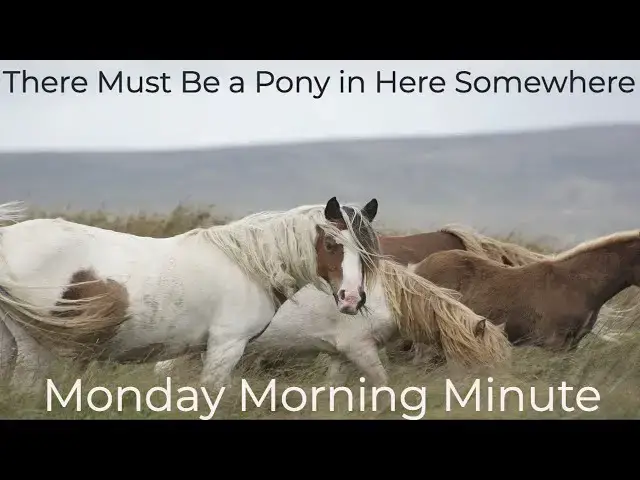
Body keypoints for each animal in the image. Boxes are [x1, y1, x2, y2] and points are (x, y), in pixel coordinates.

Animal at [0, 196, 382, 391]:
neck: (249, 264)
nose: (351, 299)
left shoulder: (195, 350)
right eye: (331, 244)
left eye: (367, 249)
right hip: (35, 347)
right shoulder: (226, 346)